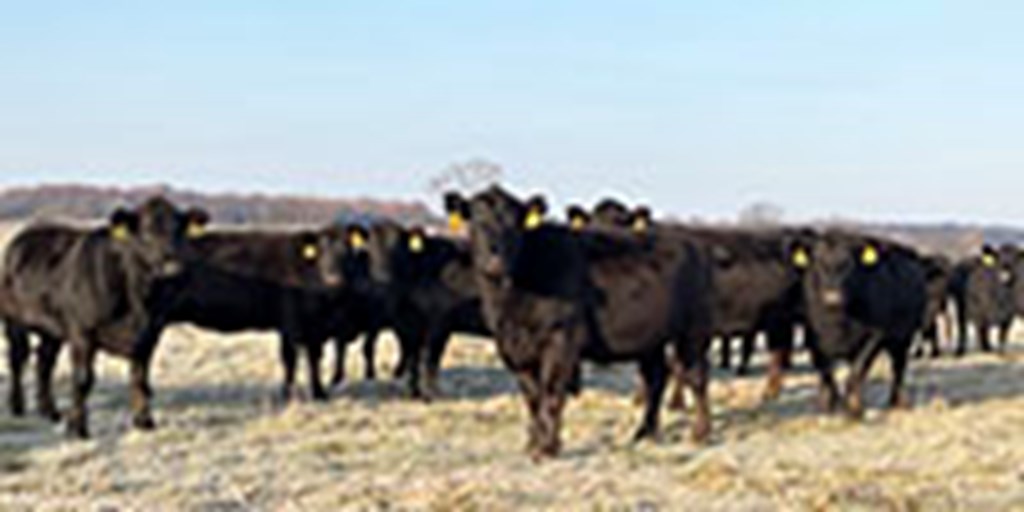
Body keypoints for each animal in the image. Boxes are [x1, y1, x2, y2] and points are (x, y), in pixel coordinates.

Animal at [0, 197, 206, 438]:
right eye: (146, 231)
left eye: (180, 230)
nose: (172, 267)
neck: (137, 303)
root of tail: (24, 235)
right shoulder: (82, 333)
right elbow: (83, 379)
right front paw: (77, 427)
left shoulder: (149, 335)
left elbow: (140, 380)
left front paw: (144, 421)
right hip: (14, 320)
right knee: (18, 357)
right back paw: (17, 407)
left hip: (52, 329)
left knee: (44, 361)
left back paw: (50, 411)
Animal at [790, 232, 929, 415]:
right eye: (818, 262)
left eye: (850, 265)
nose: (832, 297)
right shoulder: (813, 338)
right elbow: (826, 373)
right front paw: (827, 405)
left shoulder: (875, 336)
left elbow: (856, 371)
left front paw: (854, 408)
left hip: (903, 337)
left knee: (898, 366)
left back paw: (898, 401)